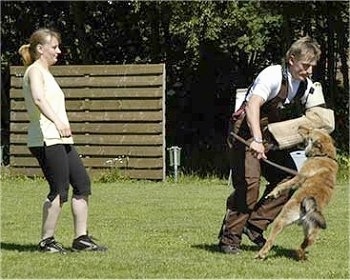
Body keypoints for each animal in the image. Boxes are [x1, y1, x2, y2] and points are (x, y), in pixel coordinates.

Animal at [254, 124, 340, 260]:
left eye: (310, 133)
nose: (300, 126)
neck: (324, 155)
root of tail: (310, 209)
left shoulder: (298, 177)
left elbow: (283, 185)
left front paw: (273, 193)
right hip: (312, 232)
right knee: (303, 245)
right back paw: (300, 255)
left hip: (282, 219)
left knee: (271, 239)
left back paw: (261, 254)